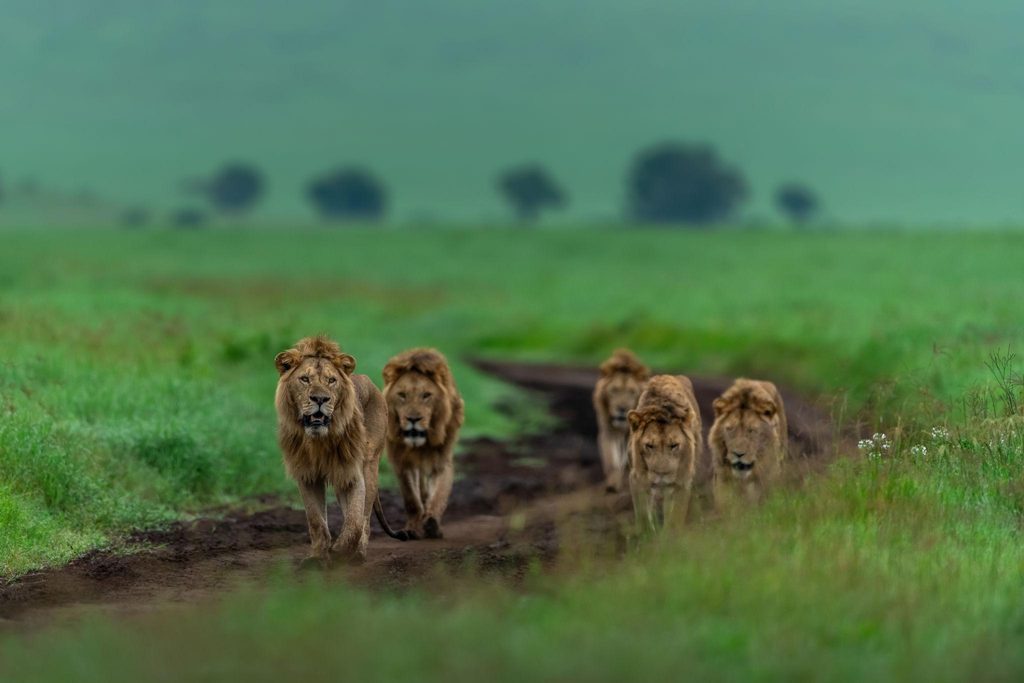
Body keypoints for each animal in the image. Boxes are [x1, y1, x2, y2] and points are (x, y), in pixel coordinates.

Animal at [275, 335, 406, 566]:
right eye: (305, 379)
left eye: (331, 380)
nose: (320, 399)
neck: (318, 440)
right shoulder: (307, 475)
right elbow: (316, 520)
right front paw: (318, 557)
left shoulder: (353, 473)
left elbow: (355, 521)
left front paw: (341, 551)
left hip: (370, 465)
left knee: (365, 518)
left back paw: (358, 553)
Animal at [382, 348, 465, 540]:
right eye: (402, 395)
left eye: (426, 395)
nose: (413, 419)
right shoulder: (402, 462)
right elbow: (412, 500)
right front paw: (412, 528)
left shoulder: (441, 461)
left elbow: (439, 495)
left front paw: (432, 524)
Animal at [593, 349, 649, 492]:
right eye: (614, 390)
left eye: (632, 392)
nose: (622, 409)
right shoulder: (609, 430)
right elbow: (612, 459)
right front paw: (613, 484)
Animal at [627, 374, 702, 531]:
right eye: (649, 446)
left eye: (674, 445)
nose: (661, 474)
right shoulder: (637, 479)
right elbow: (643, 516)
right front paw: (647, 535)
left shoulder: (683, 482)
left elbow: (675, 519)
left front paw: (671, 537)